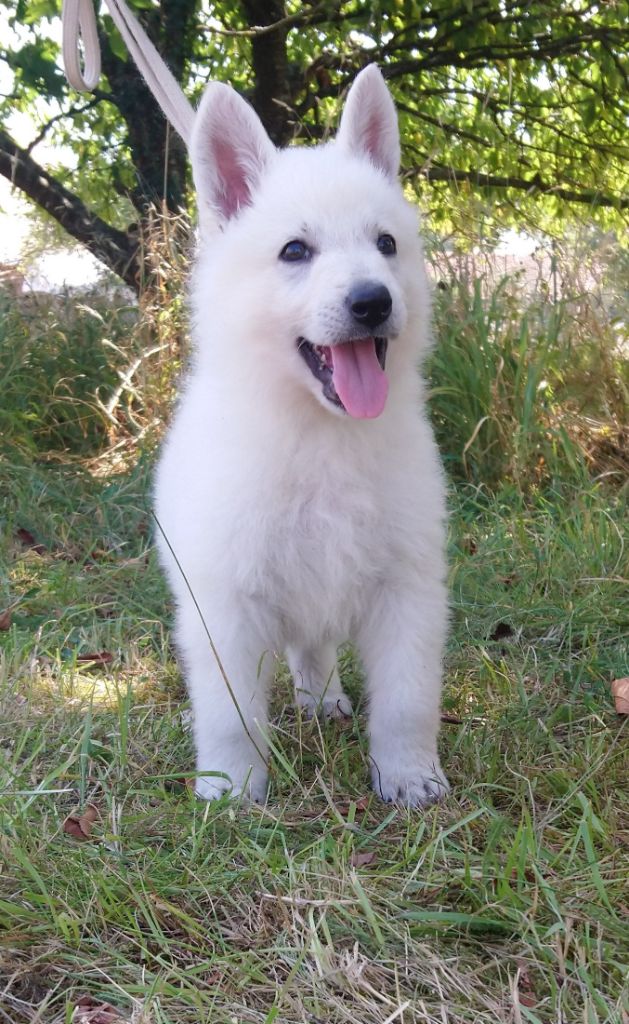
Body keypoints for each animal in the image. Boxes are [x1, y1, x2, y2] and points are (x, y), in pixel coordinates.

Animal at [155, 68, 450, 811]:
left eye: (386, 244)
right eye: (295, 251)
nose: (373, 302)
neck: (324, 436)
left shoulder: (406, 588)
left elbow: (406, 701)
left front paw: (409, 777)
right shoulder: (227, 604)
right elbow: (231, 711)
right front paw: (231, 788)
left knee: (313, 651)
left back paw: (322, 700)